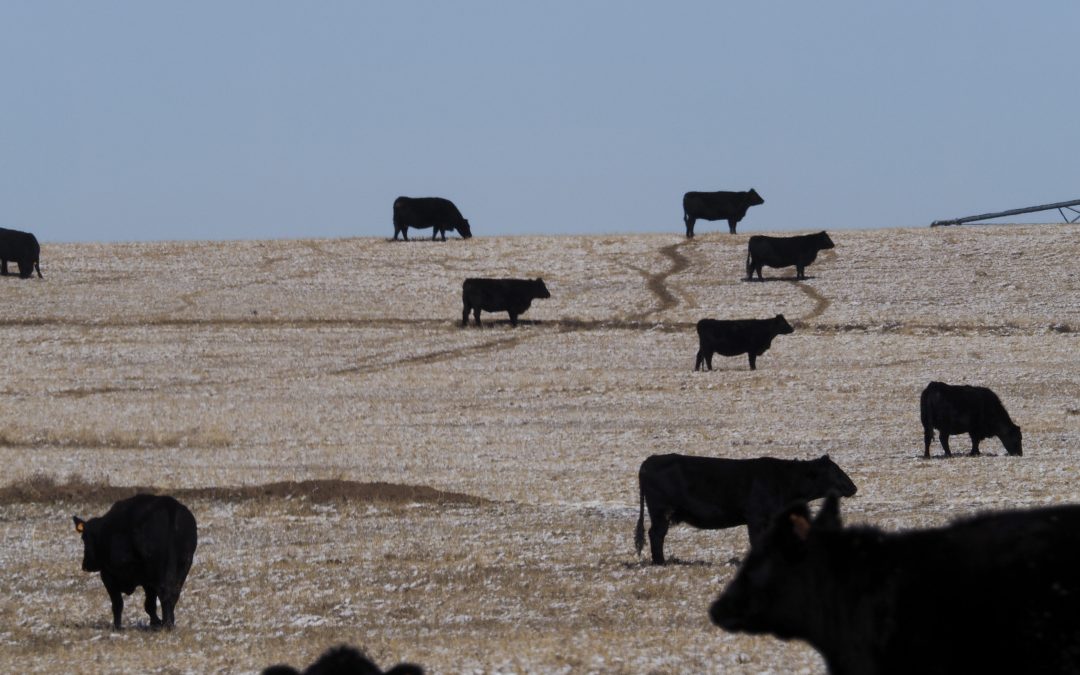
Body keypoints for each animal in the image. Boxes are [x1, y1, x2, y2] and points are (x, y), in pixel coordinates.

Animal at [72, 492, 197, 630]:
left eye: (84, 538)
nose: (85, 565)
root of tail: (169, 506)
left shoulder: (108, 575)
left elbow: (118, 604)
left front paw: (117, 627)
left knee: (165, 592)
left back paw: (167, 624)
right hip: (184, 563)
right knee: (173, 592)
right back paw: (169, 623)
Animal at [630, 453, 851, 561]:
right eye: (834, 471)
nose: (853, 486)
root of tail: (651, 460)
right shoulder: (756, 518)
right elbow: (756, 540)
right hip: (661, 511)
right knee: (656, 534)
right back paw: (660, 562)